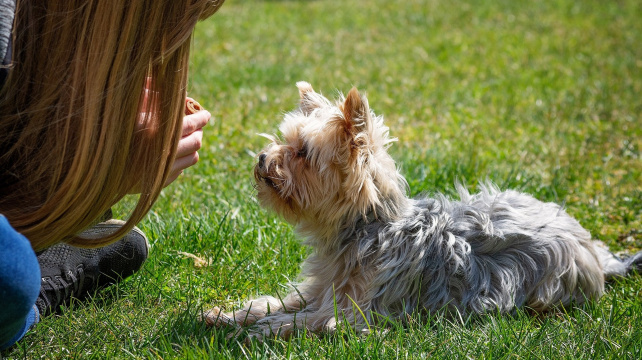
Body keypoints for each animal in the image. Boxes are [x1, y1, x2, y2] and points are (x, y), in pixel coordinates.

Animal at [205, 81, 640, 340]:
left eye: (302, 153)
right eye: (284, 140)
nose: (262, 158)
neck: (366, 229)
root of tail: (594, 251)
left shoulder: (358, 315)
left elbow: (307, 320)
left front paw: (257, 330)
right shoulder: (320, 288)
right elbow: (283, 302)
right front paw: (229, 315)